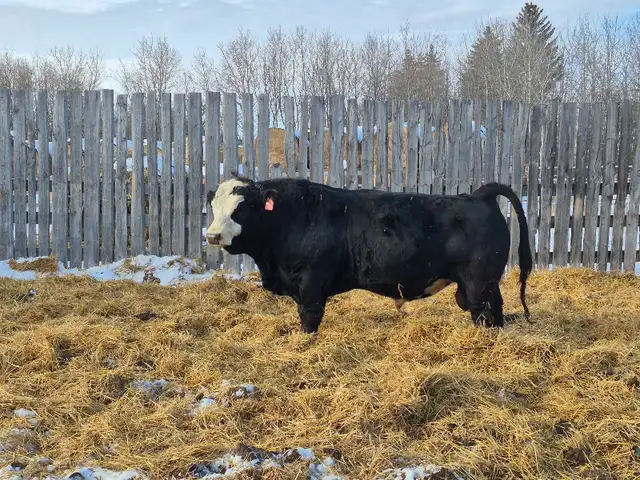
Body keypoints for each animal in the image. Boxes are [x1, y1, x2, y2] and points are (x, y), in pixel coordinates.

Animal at [205, 176, 532, 334]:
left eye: (241, 208)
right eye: (213, 206)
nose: (212, 235)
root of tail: (478, 195)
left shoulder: (311, 284)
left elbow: (309, 320)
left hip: (479, 282)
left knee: (485, 313)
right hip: (483, 284)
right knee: (496, 311)